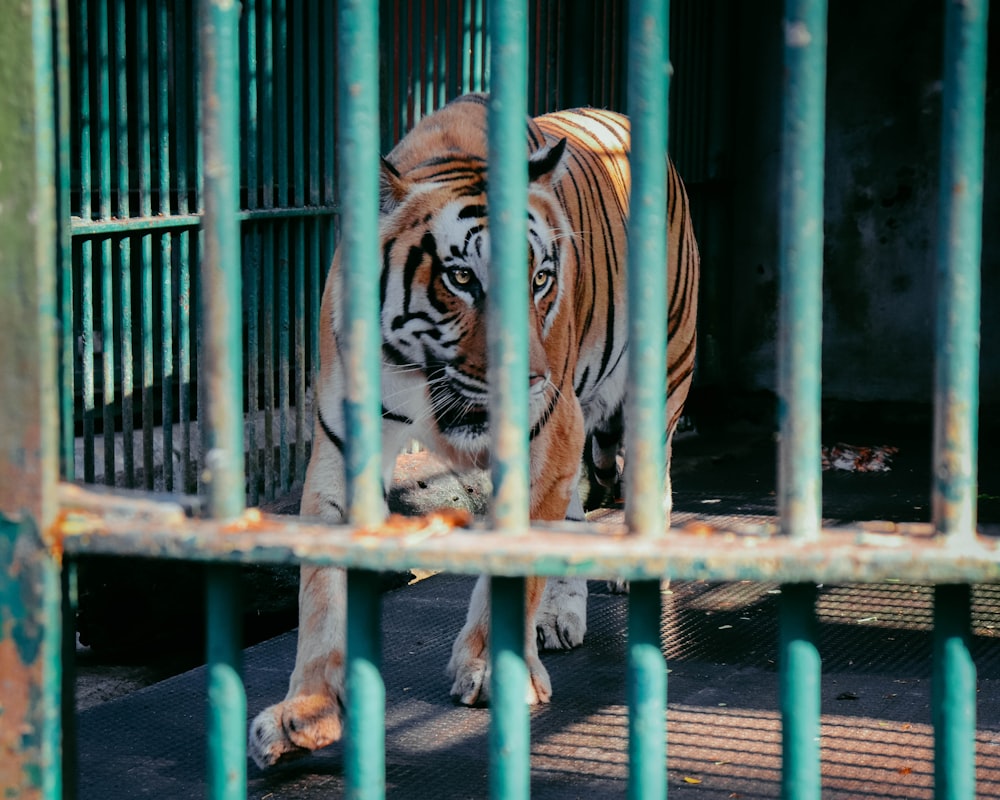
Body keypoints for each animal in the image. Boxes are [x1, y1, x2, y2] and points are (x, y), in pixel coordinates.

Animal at [247, 94, 700, 768]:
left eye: (540, 280)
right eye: (461, 279)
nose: (532, 378)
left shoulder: (548, 432)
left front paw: (492, 670)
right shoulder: (341, 444)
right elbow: (321, 590)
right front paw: (306, 710)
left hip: (660, 375)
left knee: (654, 475)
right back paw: (558, 616)